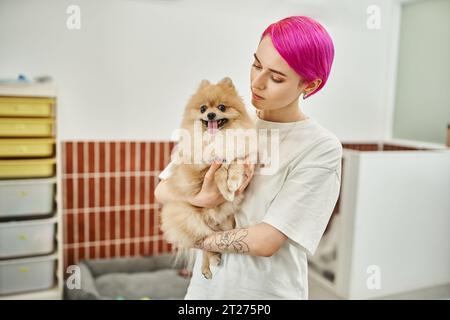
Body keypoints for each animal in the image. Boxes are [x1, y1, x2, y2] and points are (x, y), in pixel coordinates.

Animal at [160, 76, 255, 278]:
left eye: (221, 107)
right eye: (203, 109)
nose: (210, 115)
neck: (216, 138)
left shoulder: (239, 155)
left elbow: (234, 164)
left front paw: (232, 184)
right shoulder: (201, 170)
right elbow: (218, 171)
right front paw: (226, 190)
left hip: (226, 224)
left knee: (211, 240)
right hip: (190, 219)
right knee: (204, 241)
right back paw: (209, 264)